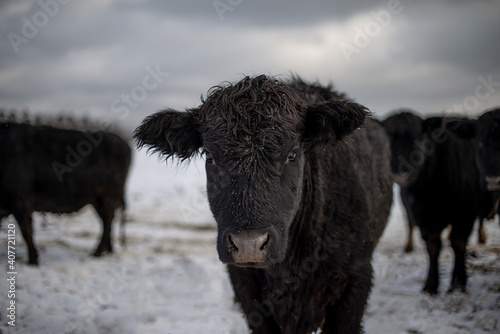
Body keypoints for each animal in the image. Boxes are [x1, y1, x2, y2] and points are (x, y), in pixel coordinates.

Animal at [0, 121, 131, 264]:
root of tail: (123, 143)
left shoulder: (21, 201)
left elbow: (27, 231)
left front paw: (32, 260)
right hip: (98, 200)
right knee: (107, 220)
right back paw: (107, 250)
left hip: (107, 196)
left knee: (107, 220)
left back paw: (97, 253)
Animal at [380, 112, 486, 294]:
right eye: (387, 142)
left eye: (418, 139)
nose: (401, 173)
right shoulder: (423, 218)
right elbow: (433, 246)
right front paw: (431, 285)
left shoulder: (465, 214)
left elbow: (458, 243)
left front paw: (458, 282)